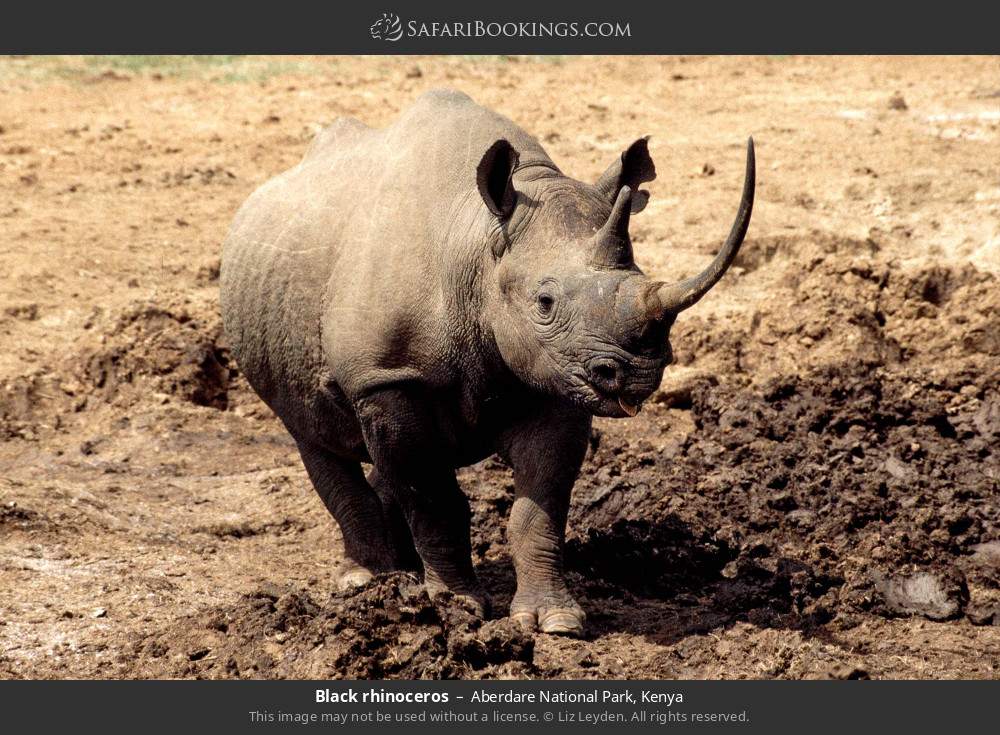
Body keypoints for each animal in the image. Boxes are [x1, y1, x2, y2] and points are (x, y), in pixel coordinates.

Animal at [220, 89, 754, 636]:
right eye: (544, 302)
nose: (638, 374)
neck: (478, 247)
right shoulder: (386, 376)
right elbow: (432, 496)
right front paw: (458, 608)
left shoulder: (557, 374)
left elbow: (539, 507)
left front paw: (554, 621)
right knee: (315, 438)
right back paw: (367, 582)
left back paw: (402, 575)